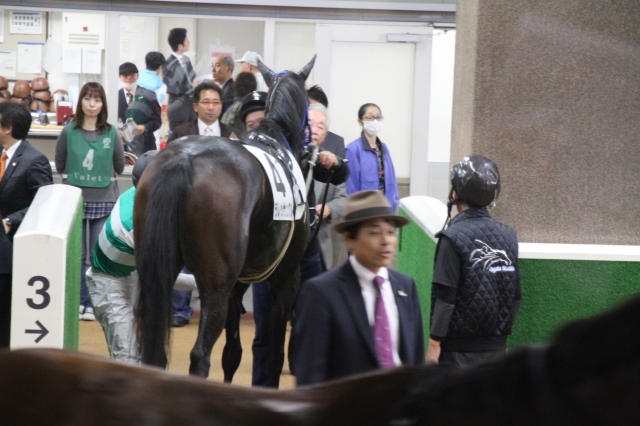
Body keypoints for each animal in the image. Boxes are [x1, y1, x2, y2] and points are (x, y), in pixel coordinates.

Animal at [134, 56, 316, 386]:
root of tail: (182, 160)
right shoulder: (285, 279)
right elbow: (273, 356)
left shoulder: (238, 284)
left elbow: (232, 354)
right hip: (215, 284)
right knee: (200, 355)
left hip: (156, 271)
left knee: (155, 352)